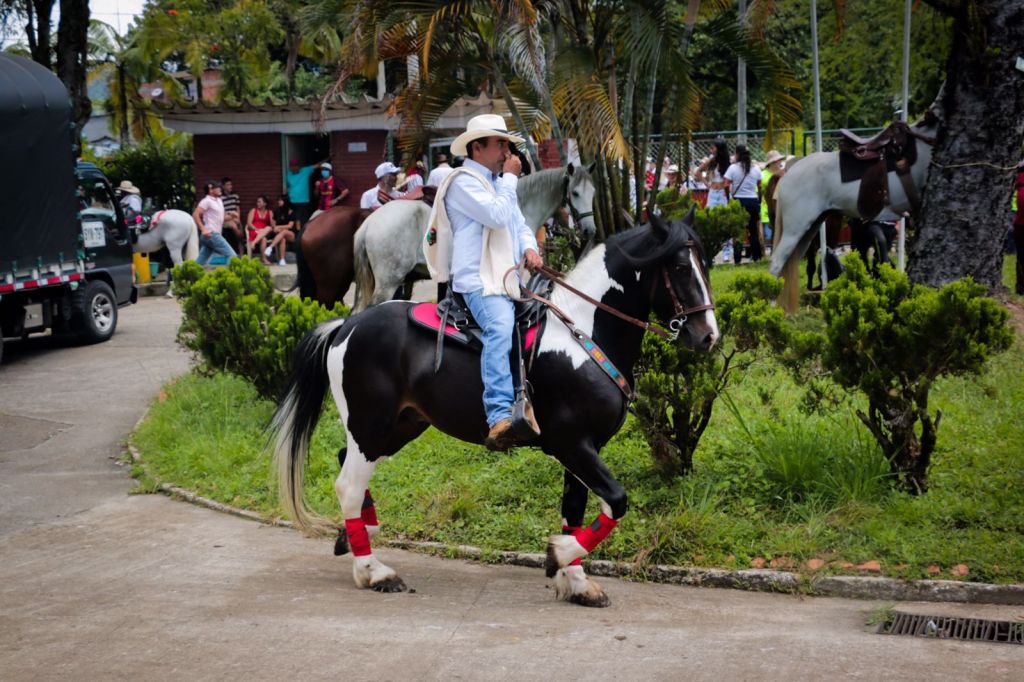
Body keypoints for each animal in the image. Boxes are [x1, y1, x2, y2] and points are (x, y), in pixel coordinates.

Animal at [272, 210, 720, 606]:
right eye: (680, 267)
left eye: (705, 263)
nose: (708, 337)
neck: (581, 334)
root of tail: (345, 326)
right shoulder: (571, 444)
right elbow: (617, 500)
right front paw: (558, 556)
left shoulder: (584, 448)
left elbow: (575, 509)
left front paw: (576, 582)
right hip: (372, 424)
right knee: (348, 484)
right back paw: (375, 571)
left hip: (399, 425)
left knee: (344, 459)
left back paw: (356, 535)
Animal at [352, 164, 598, 311]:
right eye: (575, 193)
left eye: (594, 192)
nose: (589, 230)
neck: (517, 204)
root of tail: (369, 224)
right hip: (388, 283)